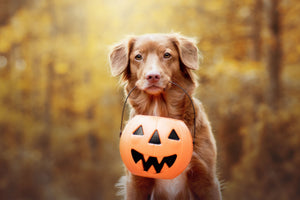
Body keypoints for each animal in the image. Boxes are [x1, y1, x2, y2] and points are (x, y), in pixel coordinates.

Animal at [109, 33, 221, 199]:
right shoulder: (136, 182)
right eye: (138, 56)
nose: (152, 76)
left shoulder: (205, 178)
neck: (161, 114)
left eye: (167, 55)